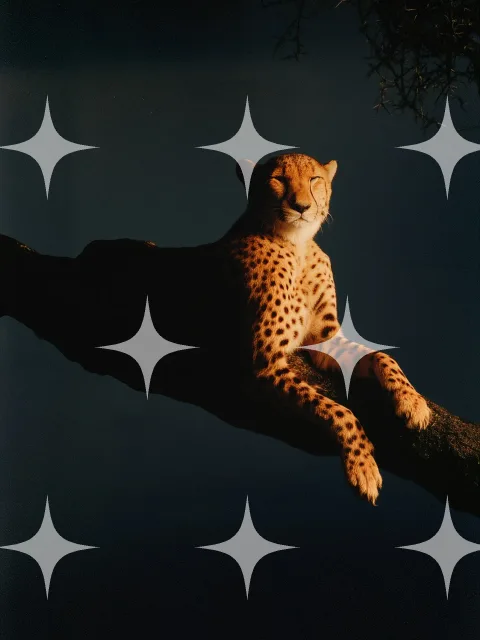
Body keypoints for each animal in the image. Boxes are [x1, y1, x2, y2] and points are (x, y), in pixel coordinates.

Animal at [222, 152, 431, 505]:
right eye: (278, 178)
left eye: (314, 179)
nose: (302, 206)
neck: (298, 244)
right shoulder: (266, 360)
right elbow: (336, 410)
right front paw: (362, 465)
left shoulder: (325, 342)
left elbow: (381, 356)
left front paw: (412, 401)